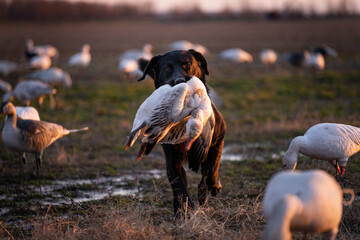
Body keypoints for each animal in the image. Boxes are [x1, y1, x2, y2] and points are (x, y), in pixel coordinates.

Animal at [138, 49, 225, 215]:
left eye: (188, 65)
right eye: (167, 68)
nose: (179, 81)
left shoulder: (219, 138)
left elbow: (212, 168)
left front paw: (213, 186)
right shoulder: (172, 157)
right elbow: (178, 184)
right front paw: (184, 210)